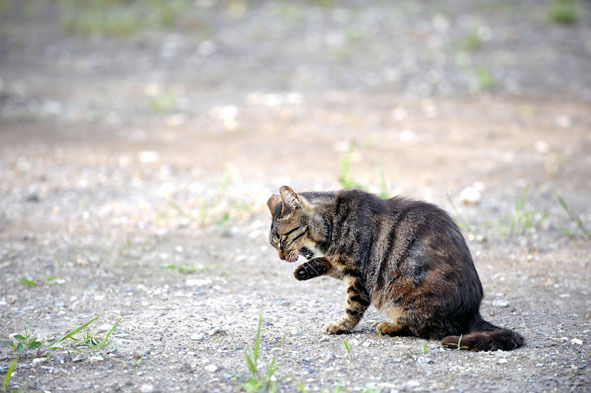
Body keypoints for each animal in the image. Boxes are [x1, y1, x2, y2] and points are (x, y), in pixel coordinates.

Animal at [266, 185, 524, 350]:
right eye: (274, 244)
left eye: (282, 238)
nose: (281, 257)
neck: (331, 225)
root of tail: (473, 313)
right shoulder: (344, 267)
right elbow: (328, 264)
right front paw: (303, 271)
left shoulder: (358, 276)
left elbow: (352, 308)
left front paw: (340, 326)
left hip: (403, 296)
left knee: (426, 329)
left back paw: (389, 326)